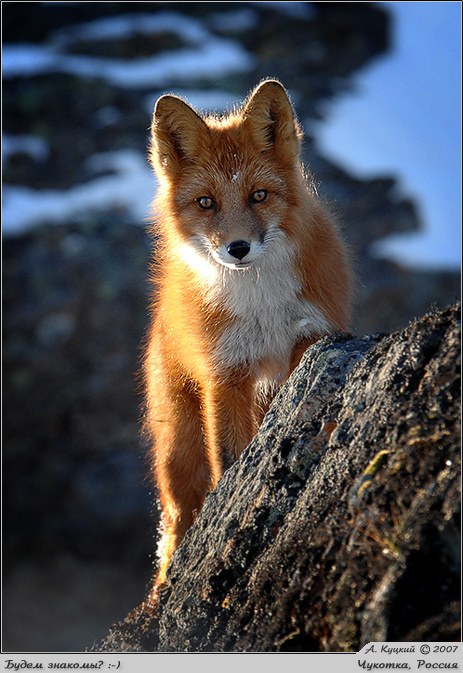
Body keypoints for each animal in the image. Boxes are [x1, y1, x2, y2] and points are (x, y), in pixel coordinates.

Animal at [143, 79, 352, 604]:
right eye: (207, 203)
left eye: (258, 195)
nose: (238, 248)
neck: (261, 307)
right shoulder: (226, 375)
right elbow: (231, 461)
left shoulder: (309, 340)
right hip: (179, 455)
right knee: (176, 524)